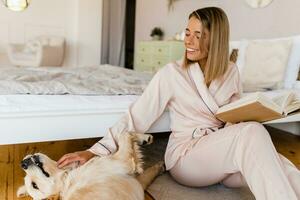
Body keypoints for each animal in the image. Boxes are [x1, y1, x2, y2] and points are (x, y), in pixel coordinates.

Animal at [17, 134, 165, 200]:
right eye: (34, 185)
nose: (22, 163)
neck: (66, 180)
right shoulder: (121, 162)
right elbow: (124, 134)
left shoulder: (137, 183)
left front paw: (144, 138)